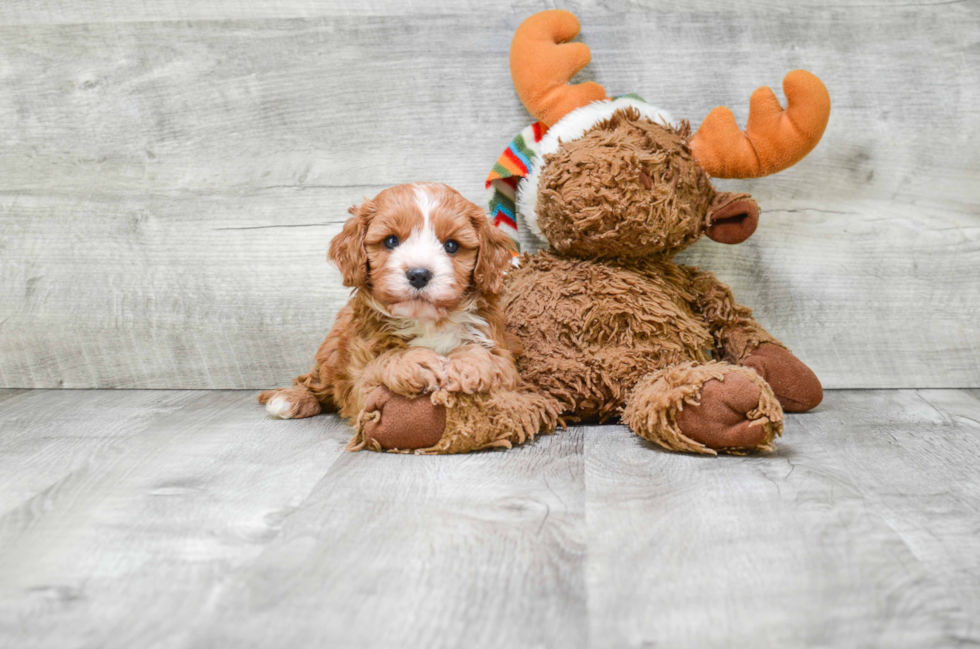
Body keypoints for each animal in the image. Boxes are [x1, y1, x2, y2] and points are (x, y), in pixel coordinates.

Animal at [260, 182, 560, 454]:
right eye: (391, 241)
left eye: (452, 246)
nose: (418, 274)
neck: (428, 320)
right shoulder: (359, 379)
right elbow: (378, 366)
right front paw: (415, 362)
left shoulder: (504, 353)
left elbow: (490, 359)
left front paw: (465, 365)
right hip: (332, 352)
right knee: (314, 382)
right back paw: (288, 399)